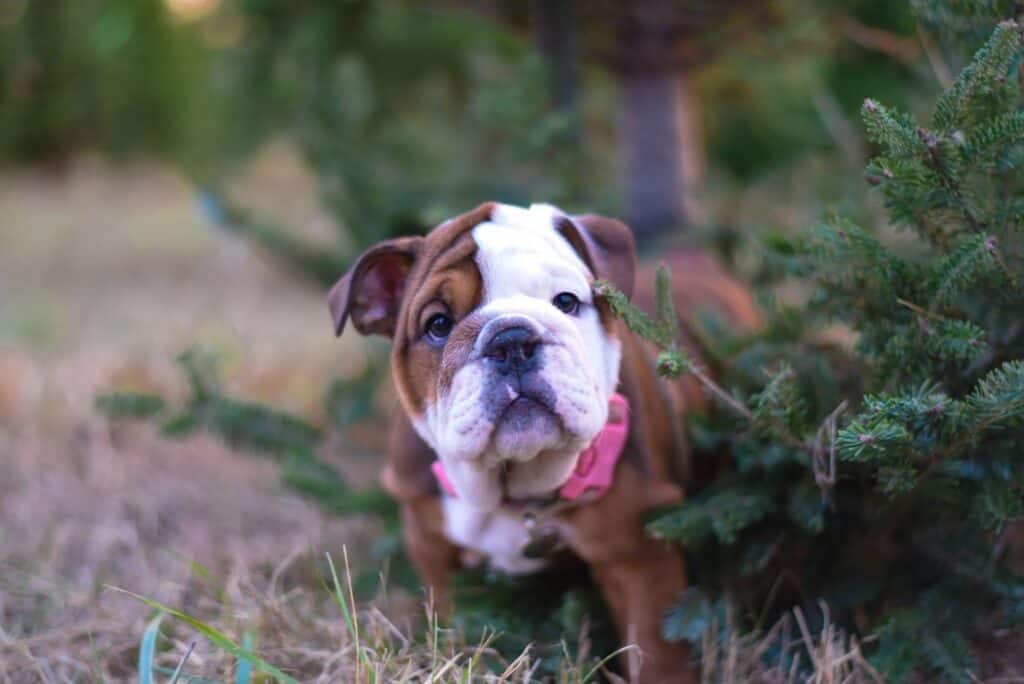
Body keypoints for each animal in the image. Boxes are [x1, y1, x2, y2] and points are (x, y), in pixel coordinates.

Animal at [327, 202, 761, 684]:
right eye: (438, 324)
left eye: (566, 301)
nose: (512, 340)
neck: (517, 486)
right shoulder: (433, 544)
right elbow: (453, 621)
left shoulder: (639, 555)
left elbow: (656, 650)